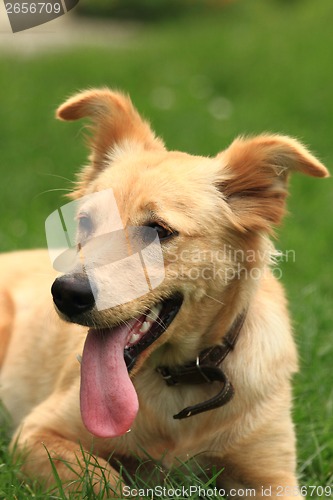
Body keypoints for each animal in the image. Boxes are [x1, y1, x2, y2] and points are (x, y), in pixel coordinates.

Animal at [0, 88, 328, 498]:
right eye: (85, 222)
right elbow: (105, 479)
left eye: (159, 230)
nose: (66, 294)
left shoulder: (274, 476)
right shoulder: (36, 434)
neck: (179, 383)